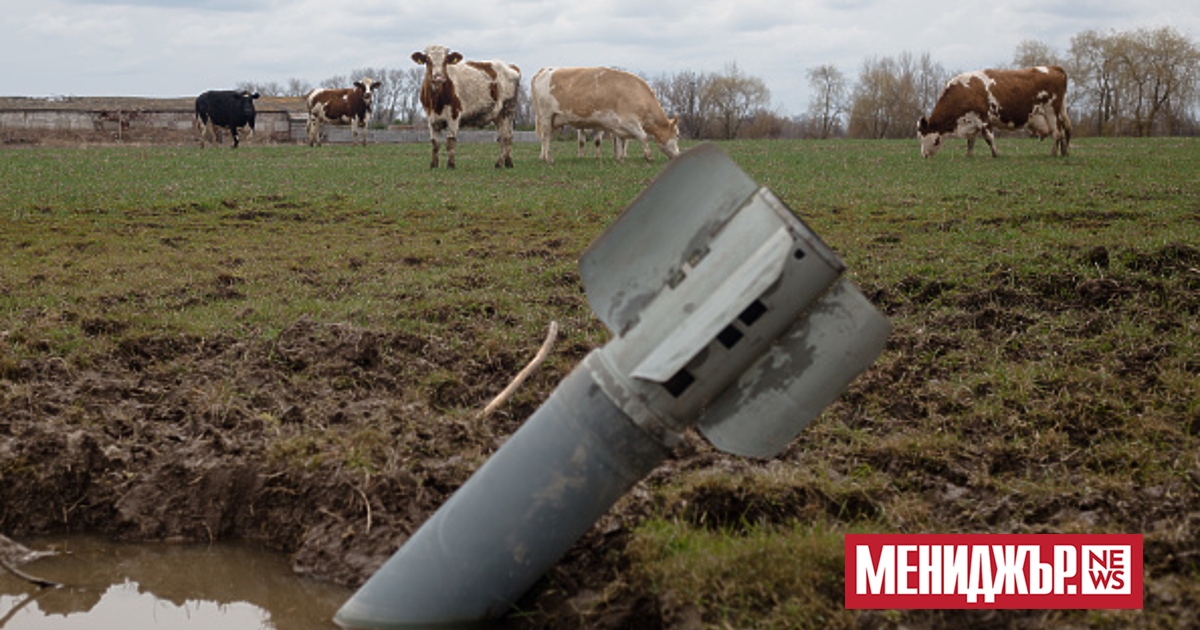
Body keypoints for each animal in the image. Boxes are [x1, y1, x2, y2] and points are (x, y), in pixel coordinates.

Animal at [532, 66, 681, 163]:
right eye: (677, 135)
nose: (678, 155)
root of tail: (545, 70)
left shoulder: (619, 126)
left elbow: (620, 141)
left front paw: (620, 158)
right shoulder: (629, 121)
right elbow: (643, 137)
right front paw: (649, 156)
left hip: (553, 118)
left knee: (546, 138)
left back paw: (543, 156)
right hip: (546, 115)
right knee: (546, 137)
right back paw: (548, 158)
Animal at [912, 65, 1075, 158]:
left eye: (922, 137)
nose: (923, 155)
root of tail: (1053, 67)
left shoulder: (983, 119)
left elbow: (989, 138)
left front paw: (995, 154)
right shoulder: (972, 121)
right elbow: (970, 141)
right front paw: (969, 155)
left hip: (1051, 111)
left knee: (1057, 132)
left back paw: (1053, 153)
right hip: (1059, 111)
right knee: (1065, 130)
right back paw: (1064, 152)